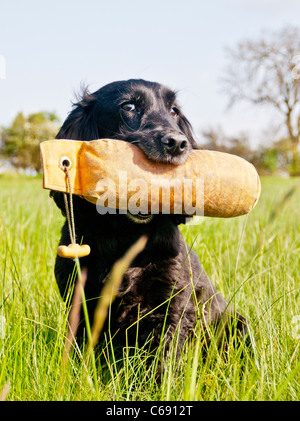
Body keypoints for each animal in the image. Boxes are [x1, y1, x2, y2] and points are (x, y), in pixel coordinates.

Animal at [51, 79, 248, 360]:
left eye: (174, 111)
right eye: (129, 106)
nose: (177, 143)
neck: (124, 234)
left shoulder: (172, 303)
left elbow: (162, 358)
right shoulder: (78, 298)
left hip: (237, 323)